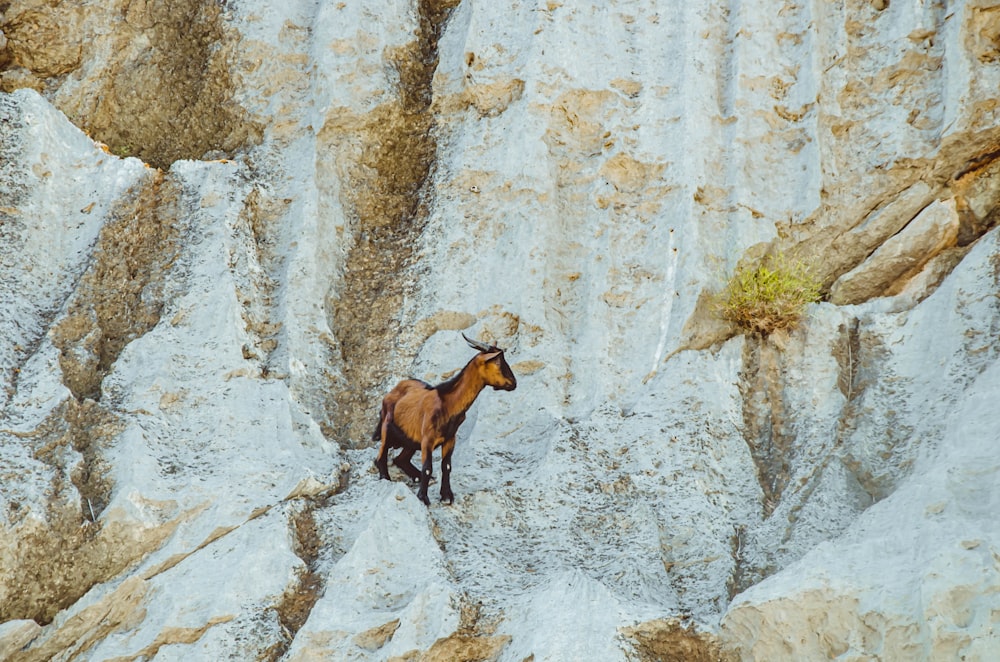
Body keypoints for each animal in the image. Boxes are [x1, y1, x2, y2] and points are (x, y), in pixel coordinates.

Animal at [374, 334, 520, 506]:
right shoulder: (427, 438)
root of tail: (391, 392)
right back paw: (385, 477)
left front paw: (446, 496)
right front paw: (423, 498)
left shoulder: (450, 438)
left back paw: (416, 476)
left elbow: (447, 466)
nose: (513, 383)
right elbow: (427, 467)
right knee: (380, 456)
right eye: (497, 361)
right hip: (387, 425)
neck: (448, 403)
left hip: (411, 439)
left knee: (400, 459)